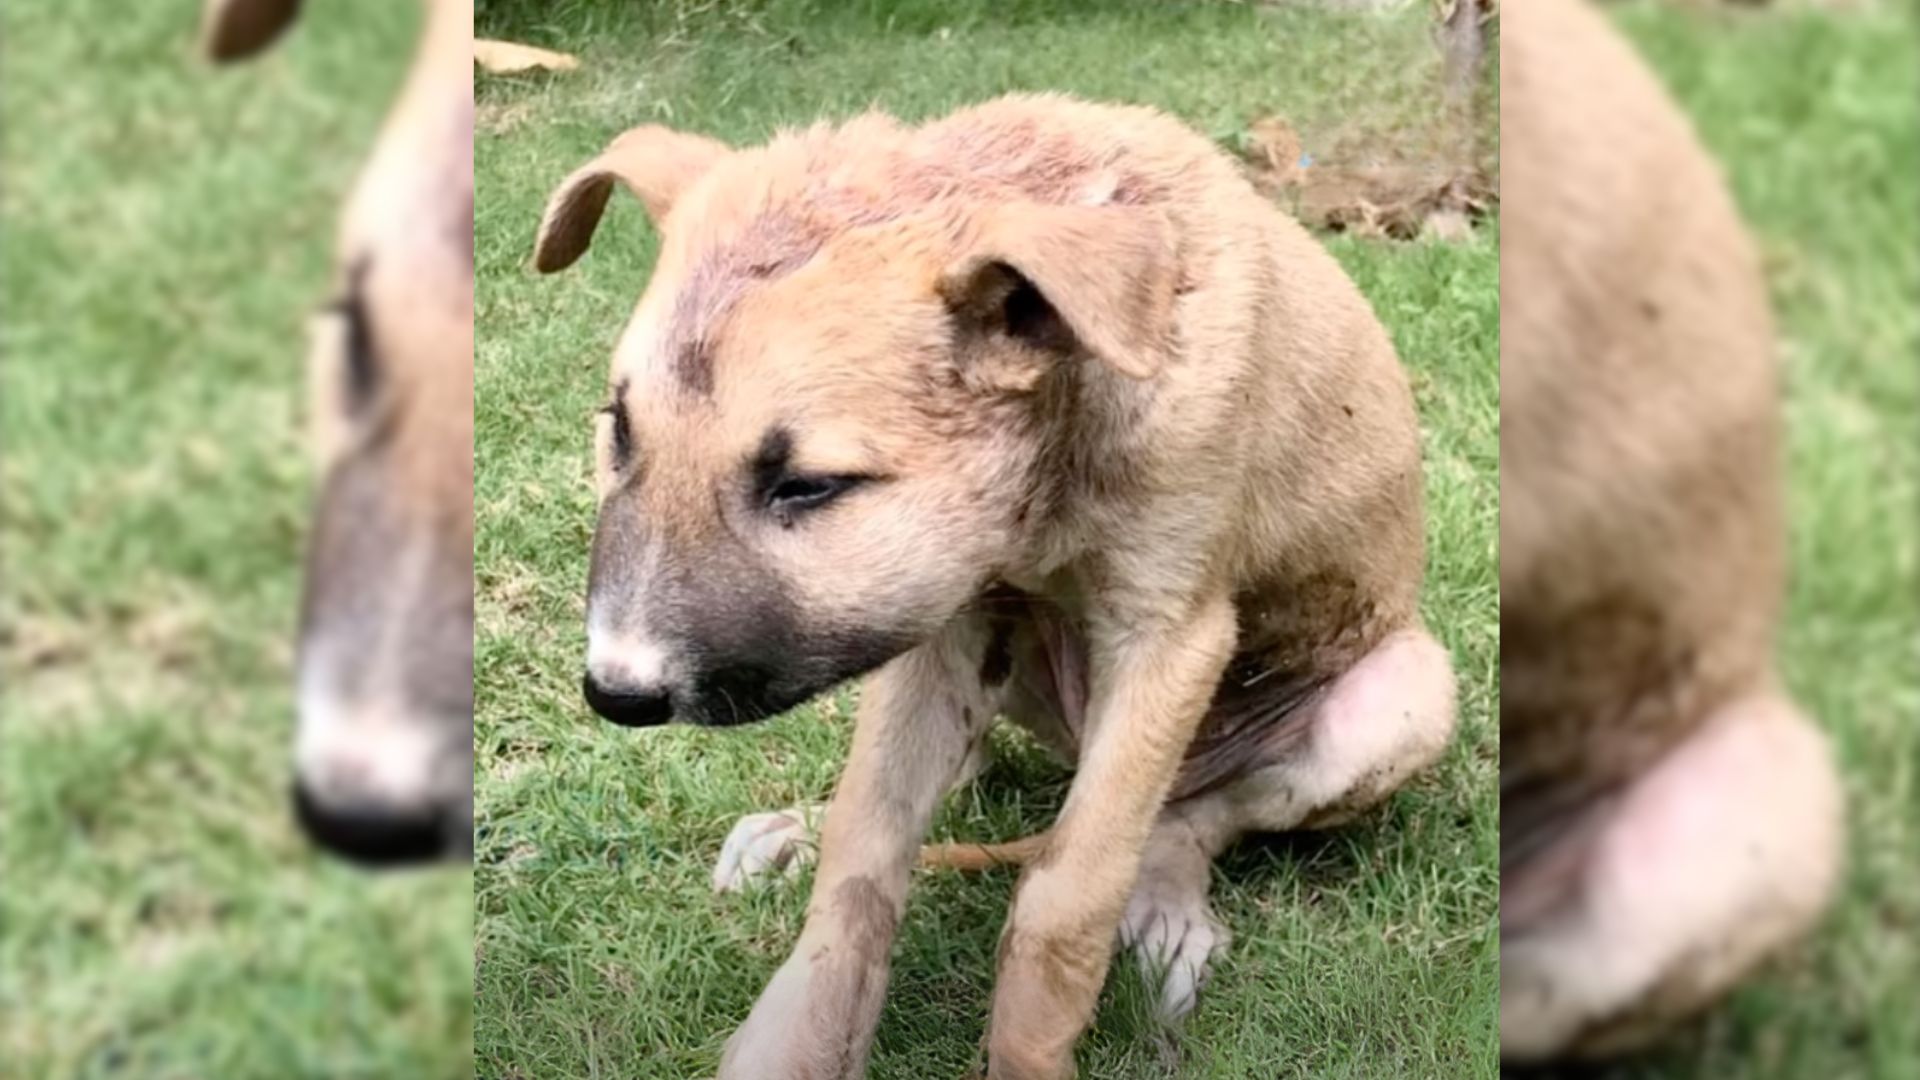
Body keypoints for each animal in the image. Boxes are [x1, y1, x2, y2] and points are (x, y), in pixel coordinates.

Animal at [537, 96, 1451, 1068]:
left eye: (810, 484)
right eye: (618, 428)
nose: (616, 692)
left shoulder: (1167, 636)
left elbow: (1069, 896)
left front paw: (1028, 1055)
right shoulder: (951, 617)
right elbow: (863, 857)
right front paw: (797, 1040)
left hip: (1399, 696)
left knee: (1183, 819)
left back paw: (1165, 901)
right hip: (923, 619)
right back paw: (800, 829)